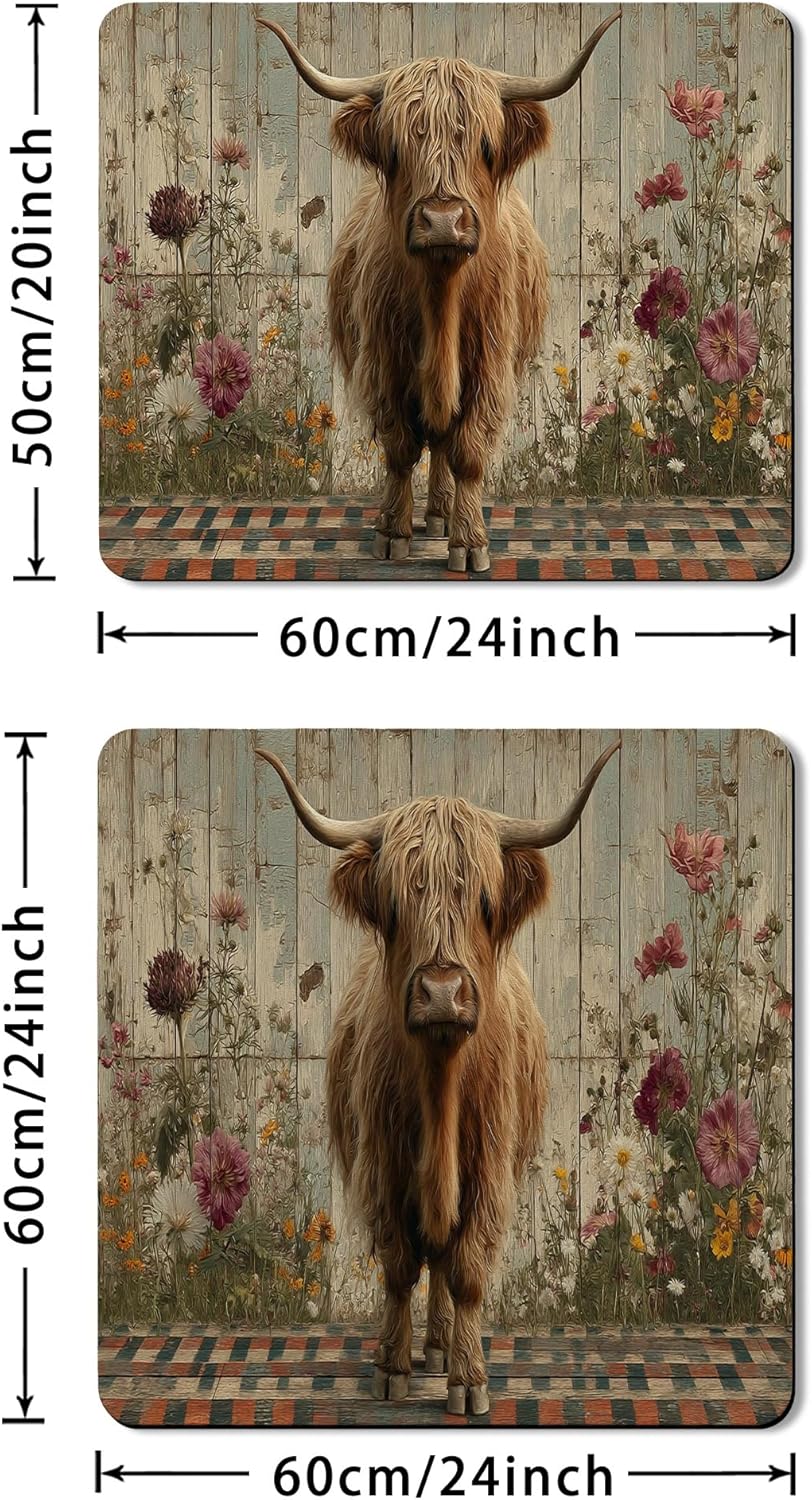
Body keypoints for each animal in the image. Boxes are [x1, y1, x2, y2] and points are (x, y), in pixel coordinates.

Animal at [257, 739, 620, 1415]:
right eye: (396, 906)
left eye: (485, 902)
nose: (443, 992)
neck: (440, 1086)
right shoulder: (381, 1163)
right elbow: (400, 1267)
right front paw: (392, 1368)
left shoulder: (493, 1168)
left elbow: (468, 1270)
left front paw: (469, 1379)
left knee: (448, 1267)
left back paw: (445, 1349)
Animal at [259, 13, 619, 573]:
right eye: (394, 150)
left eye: (486, 147)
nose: (443, 220)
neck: (441, 298)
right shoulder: (383, 361)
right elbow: (400, 449)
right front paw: (392, 531)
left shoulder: (491, 363)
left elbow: (468, 450)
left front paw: (469, 542)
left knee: (448, 446)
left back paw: (446, 515)